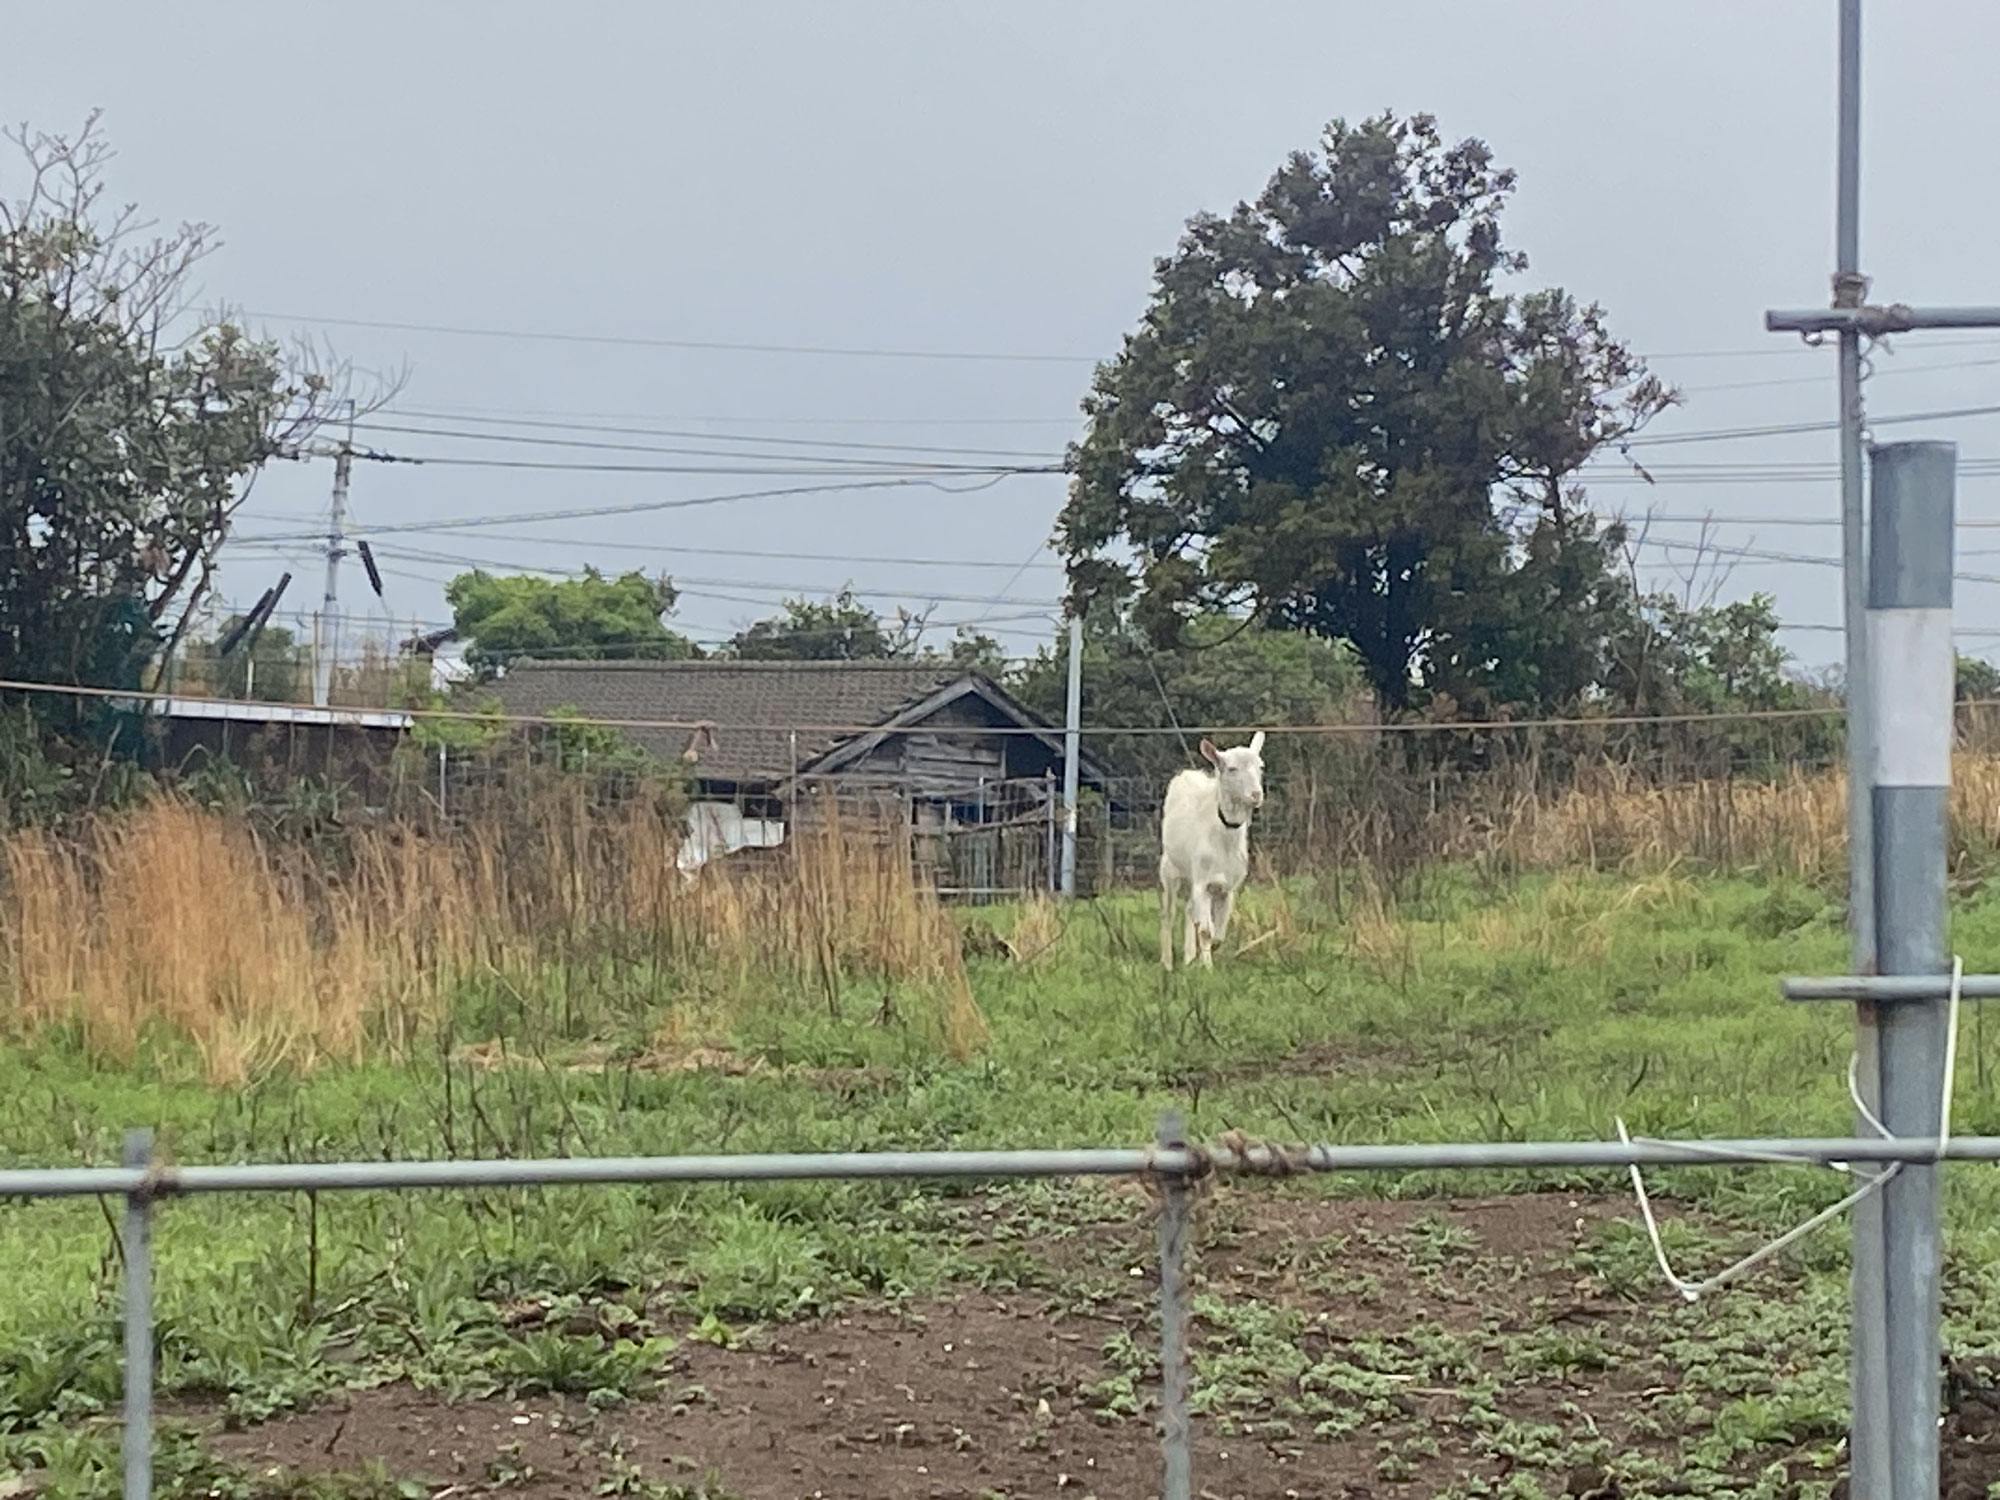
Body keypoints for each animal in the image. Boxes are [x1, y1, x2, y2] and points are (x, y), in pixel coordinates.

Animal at [1160, 740, 1264, 976]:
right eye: (1232, 768)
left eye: (1260, 767)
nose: (1256, 794)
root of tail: (1187, 774)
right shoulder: (1203, 882)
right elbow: (1206, 930)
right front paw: (1207, 968)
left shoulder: (1228, 889)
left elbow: (1218, 934)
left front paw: (1201, 959)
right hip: (1170, 870)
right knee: (1169, 913)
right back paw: (1167, 963)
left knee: (1189, 910)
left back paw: (1189, 957)